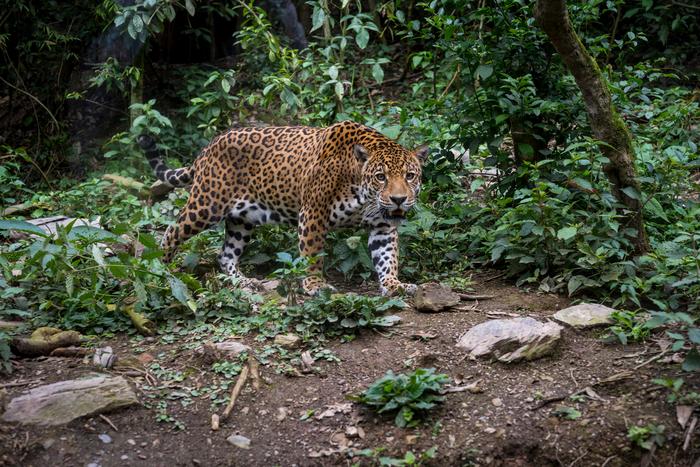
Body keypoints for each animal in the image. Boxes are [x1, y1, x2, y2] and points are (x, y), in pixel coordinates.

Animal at [138, 120, 427, 296]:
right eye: (381, 177)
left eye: (410, 176)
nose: (399, 199)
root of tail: (207, 147)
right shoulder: (313, 214)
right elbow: (312, 254)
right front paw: (315, 285)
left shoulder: (383, 225)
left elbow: (387, 257)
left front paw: (394, 284)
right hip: (206, 205)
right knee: (172, 232)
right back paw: (159, 271)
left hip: (242, 220)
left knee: (226, 254)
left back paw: (243, 282)